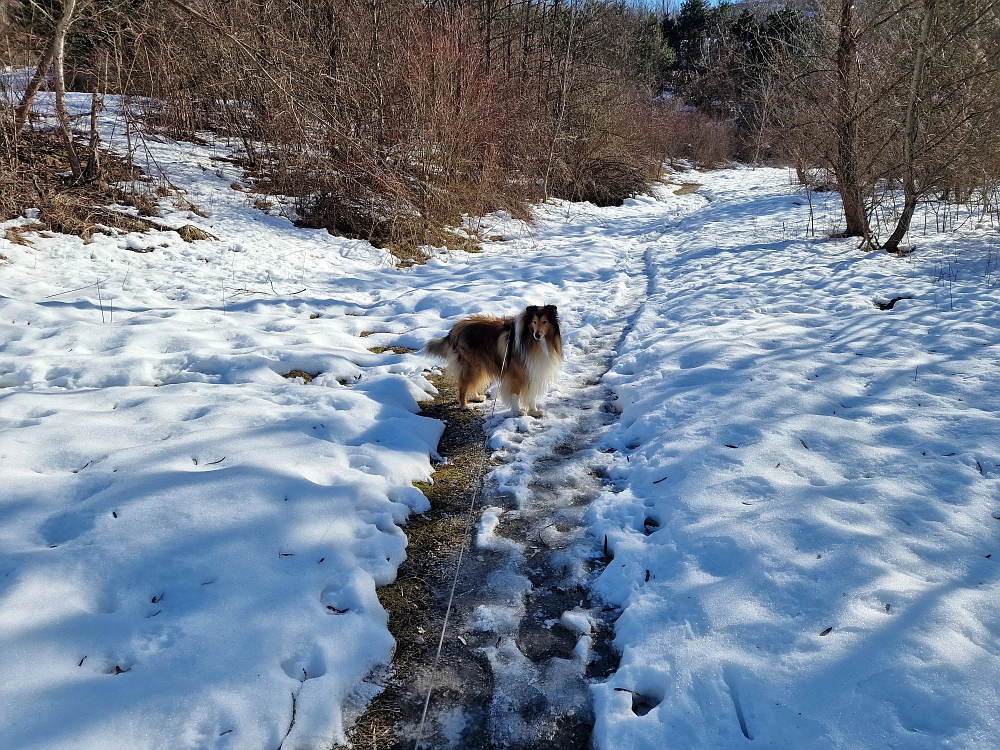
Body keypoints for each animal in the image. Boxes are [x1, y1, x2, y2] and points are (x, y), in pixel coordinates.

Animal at [422, 306, 564, 424]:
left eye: (545, 321)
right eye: (534, 321)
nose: (537, 335)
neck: (532, 341)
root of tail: (454, 329)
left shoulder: (533, 371)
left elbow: (531, 394)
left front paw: (533, 411)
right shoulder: (517, 375)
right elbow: (515, 394)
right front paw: (517, 412)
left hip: (480, 366)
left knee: (472, 383)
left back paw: (476, 397)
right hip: (472, 366)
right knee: (463, 386)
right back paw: (464, 405)